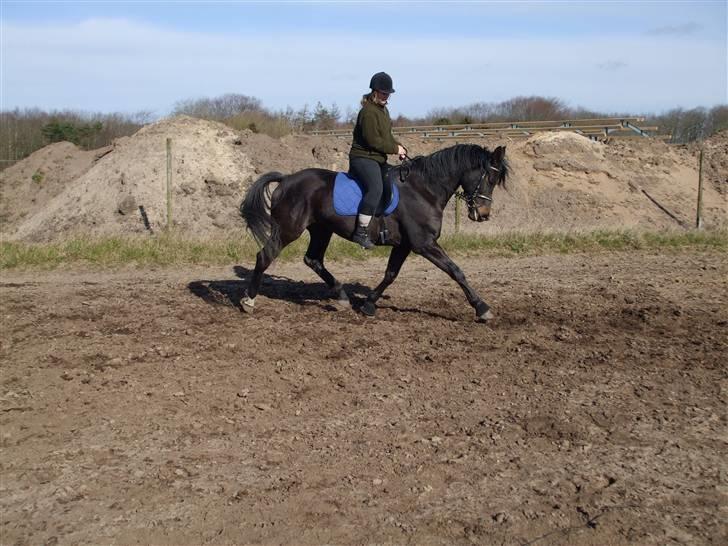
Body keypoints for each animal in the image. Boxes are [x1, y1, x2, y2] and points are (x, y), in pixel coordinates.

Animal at [239, 143, 506, 318]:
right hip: (288, 230)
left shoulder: (404, 245)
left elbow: (390, 275)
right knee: (265, 256)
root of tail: (286, 179)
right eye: (490, 179)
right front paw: (482, 308)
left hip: (321, 230)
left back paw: (341, 297)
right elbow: (455, 271)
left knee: (313, 260)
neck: (424, 190)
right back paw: (248, 301)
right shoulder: (424, 243)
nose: (483, 215)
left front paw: (368, 304)